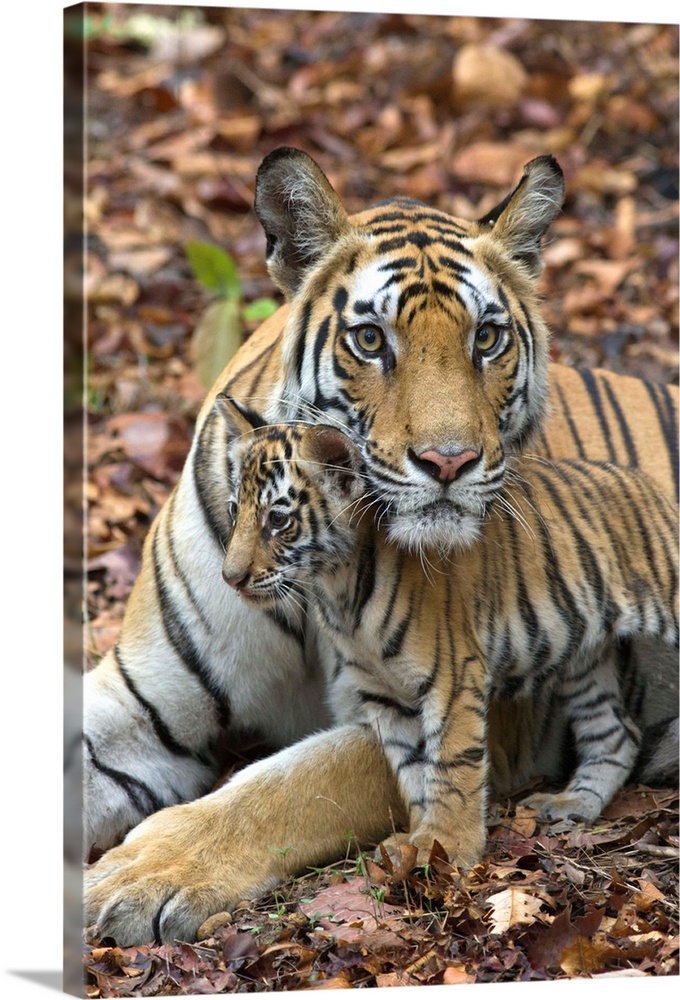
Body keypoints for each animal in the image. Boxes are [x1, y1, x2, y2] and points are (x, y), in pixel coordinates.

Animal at [83, 148, 676, 944]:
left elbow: (292, 784)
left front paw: (144, 874)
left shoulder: (484, 708)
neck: (311, 574)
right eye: (370, 340)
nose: (449, 462)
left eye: (486, 338)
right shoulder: (139, 699)